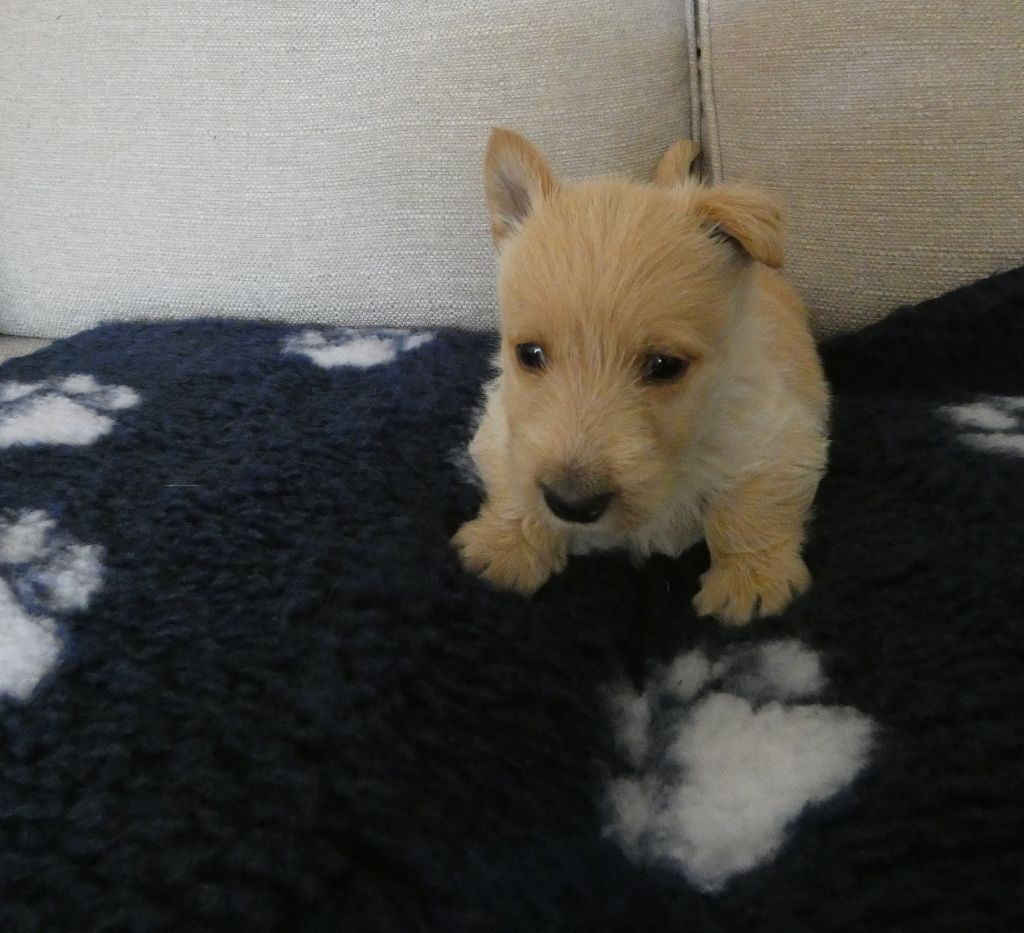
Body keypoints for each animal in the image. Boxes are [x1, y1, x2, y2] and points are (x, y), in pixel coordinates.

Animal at [453, 129, 829, 625]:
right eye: (529, 355)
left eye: (665, 365)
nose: (571, 503)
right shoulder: (502, 428)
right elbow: (514, 485)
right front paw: (508, 547)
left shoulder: (777, 438)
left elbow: (750, 507)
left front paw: (750, 581)